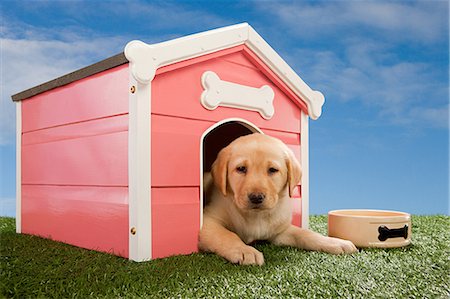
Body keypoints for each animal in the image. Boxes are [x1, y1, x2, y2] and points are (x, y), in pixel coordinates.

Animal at [199, 135, 356, 266]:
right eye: (241, 168)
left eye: (273, 170)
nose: (256, 197)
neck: (256, 216)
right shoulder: (208, 221)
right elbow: (227, 235)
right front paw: (245, 250)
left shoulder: (280, 231)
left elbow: (305, 234)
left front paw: (334, 242)